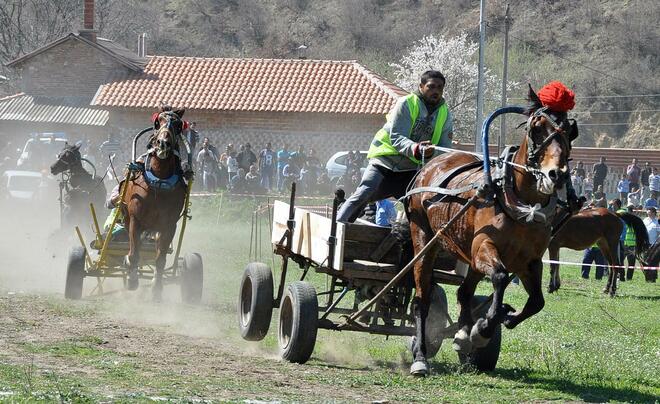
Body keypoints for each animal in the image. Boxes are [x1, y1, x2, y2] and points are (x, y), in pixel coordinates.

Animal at [122, 109, 188, 298]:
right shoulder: (135, 221)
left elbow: (160, 258)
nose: (163, 143)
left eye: (178, 125)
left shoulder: (169, 226)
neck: (159, 181)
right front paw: (132, 278)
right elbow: (134, 253)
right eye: (158, 122)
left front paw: (156, 288)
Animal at [404, 86, 580, 376]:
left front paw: (502, 320)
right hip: (425, 240)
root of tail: (430, 165)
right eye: (537, 128)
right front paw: (484, 328)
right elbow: (499, 277)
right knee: (422, 300)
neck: (521, 203)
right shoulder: (484, 247)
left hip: (469, 257)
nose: (557, 174)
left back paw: (463, 334)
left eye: (570, 131)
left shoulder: (530, 261)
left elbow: (537, 301)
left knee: (464, 293)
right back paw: (421, 356)